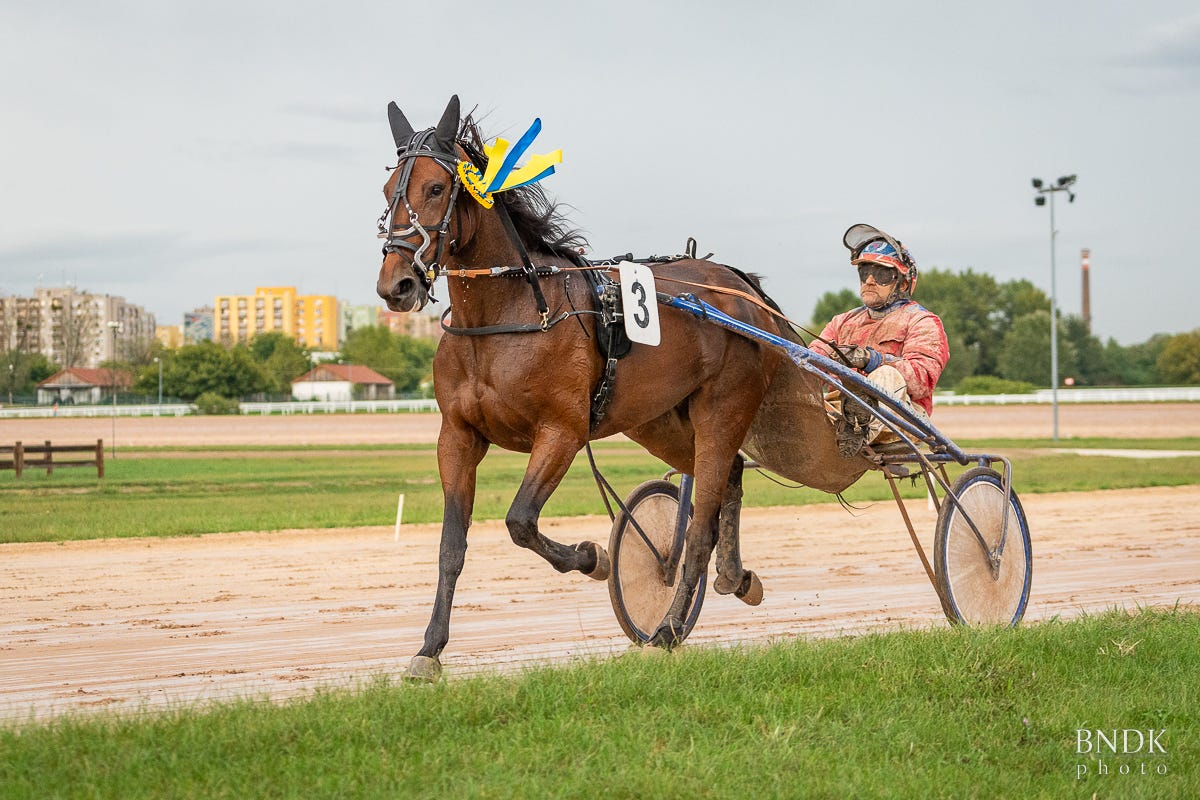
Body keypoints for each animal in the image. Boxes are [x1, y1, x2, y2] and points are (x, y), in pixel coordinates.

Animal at [369, 95, 868, 681]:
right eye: (388, 191)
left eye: (435, 188)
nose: (396, 284)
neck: (507, 319)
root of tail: (739, 286)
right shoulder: (458, 436)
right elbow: (452, 545)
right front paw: (429, 650)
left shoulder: (561, 431)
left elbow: (520, 521)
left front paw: (594, 557)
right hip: (662, 420)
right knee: (727, 481)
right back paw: (734, 577)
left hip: (722, 408)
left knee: (702, 522)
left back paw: (668, 629)